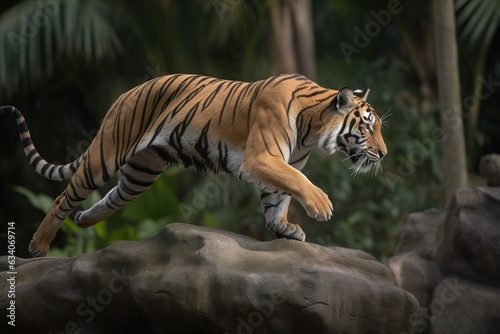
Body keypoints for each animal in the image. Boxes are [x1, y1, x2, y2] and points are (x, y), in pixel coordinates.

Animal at [0, 73, 386, 258]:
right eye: (368, 127)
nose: (382, 154)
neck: (313, 129)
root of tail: (123, 95)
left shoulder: (278, 164)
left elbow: (279, 198)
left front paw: (285, 229)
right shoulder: (262, 158)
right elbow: (297, 182)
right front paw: (321, 206)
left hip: (141, 173)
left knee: (110, 199)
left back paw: (84, 220)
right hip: (105, 155)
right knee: (63, 198)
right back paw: (38, 246)